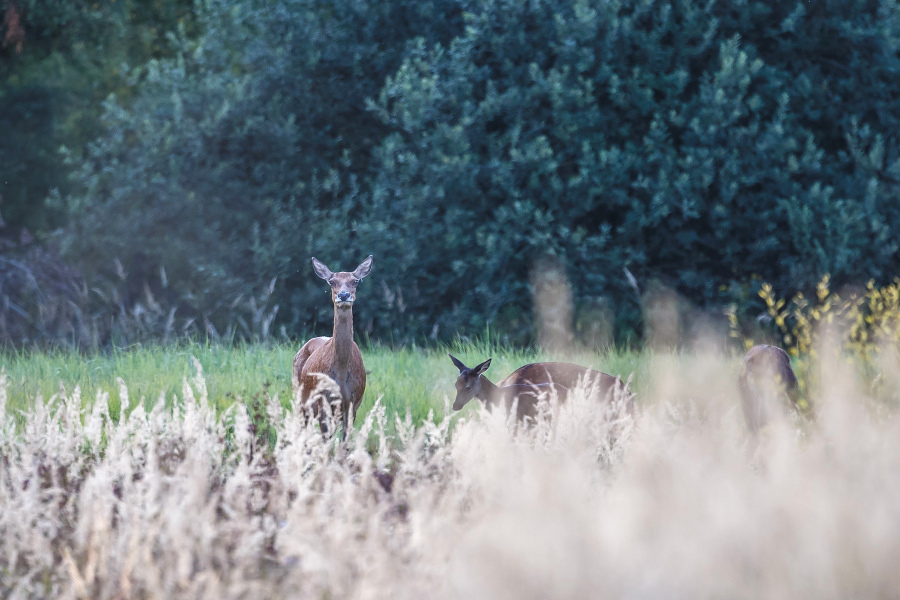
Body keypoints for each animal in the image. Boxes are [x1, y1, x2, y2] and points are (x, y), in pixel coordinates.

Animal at [290, 254, 370, 440]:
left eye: (355, 281)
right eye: (332, 281)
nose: (344, 295)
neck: (340, 373)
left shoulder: (354, 403)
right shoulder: (323, 402)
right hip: (300, 397)